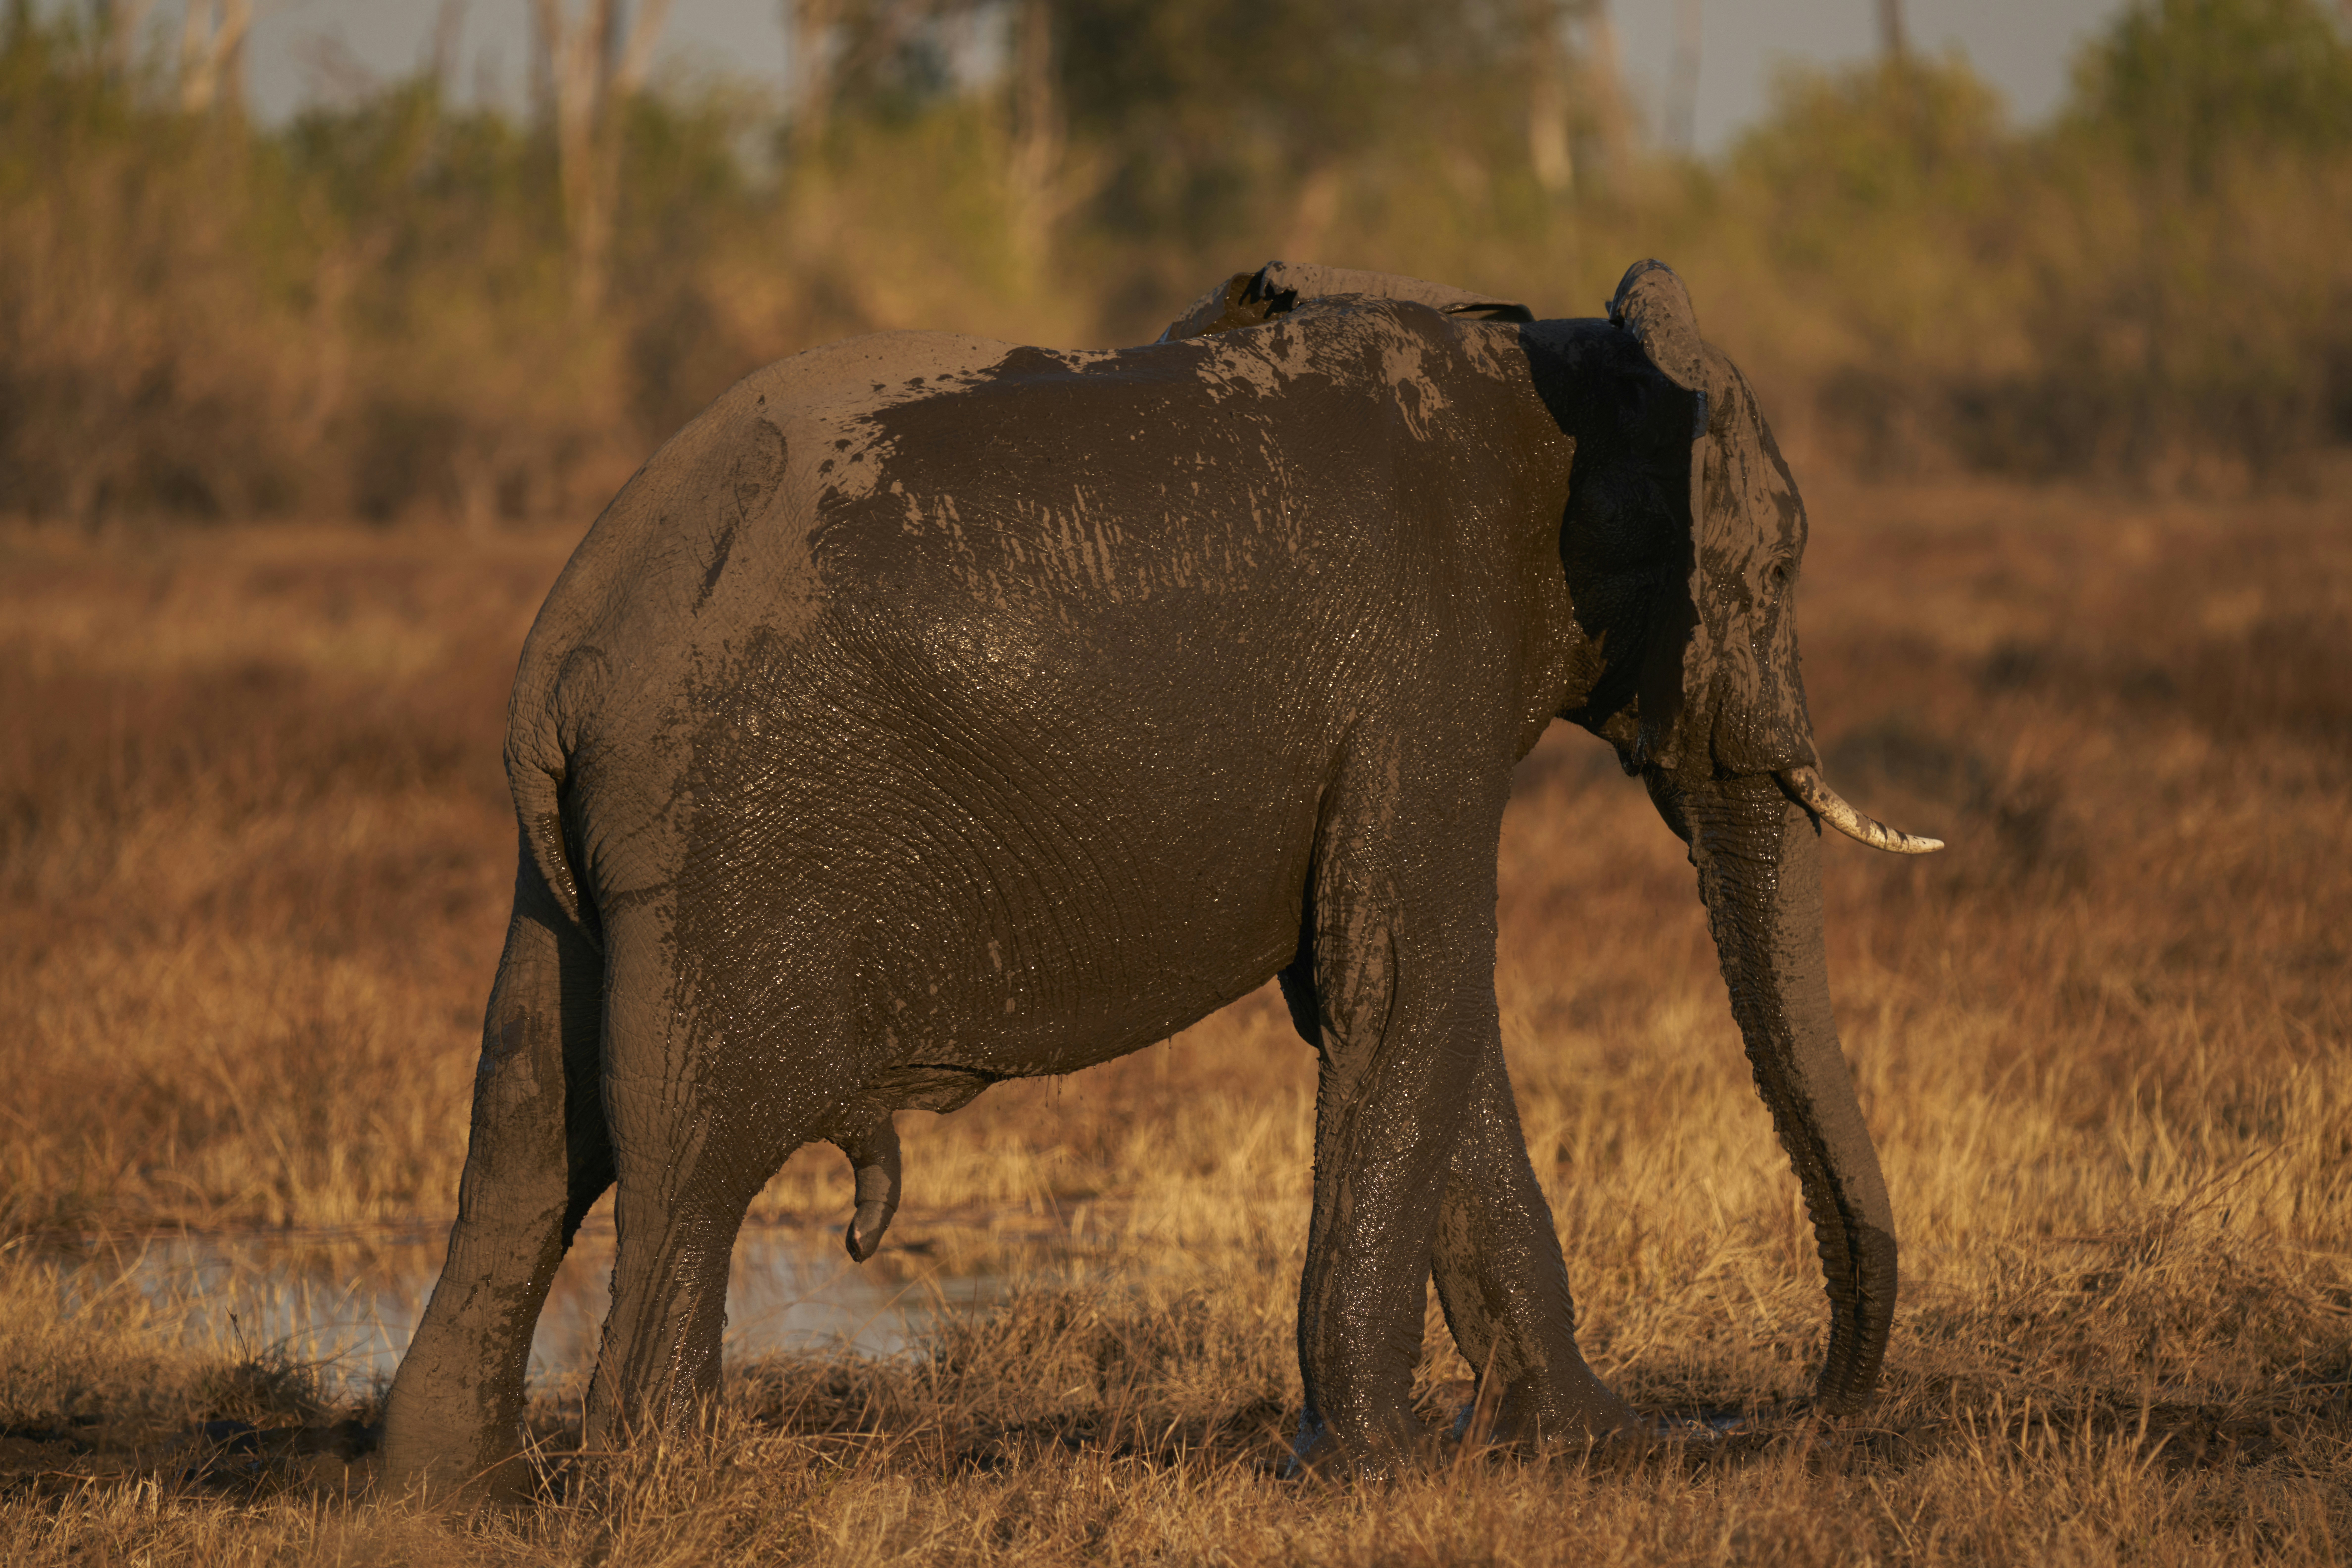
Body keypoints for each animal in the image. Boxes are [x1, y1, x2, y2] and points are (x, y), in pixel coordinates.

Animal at [380, 257, 1941, 1496]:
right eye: (1781, 569)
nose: (1803, 1421)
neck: (1557, 362)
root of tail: (563, 646)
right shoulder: (1428, 653)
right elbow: (1401, 981)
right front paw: (1368, 1470)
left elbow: (1409, 1005)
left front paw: (1579, 1444)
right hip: (733, 822)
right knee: (694, 1146)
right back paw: (672, 1481)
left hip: (583, 865)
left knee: (529, 1121)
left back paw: (452, 1494)